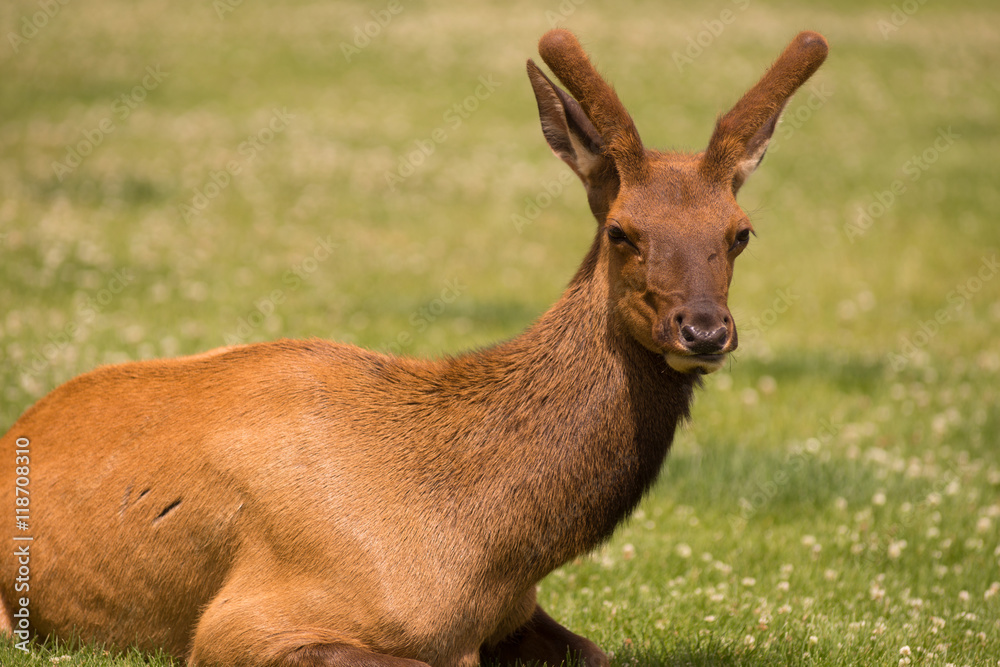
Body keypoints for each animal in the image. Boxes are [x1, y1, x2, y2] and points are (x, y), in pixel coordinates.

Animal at [1, 27, 828, 667]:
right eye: (623, 231)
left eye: (739, 233)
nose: (705, 328)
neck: (487, 548)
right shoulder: (243, 623)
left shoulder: (520, 610)